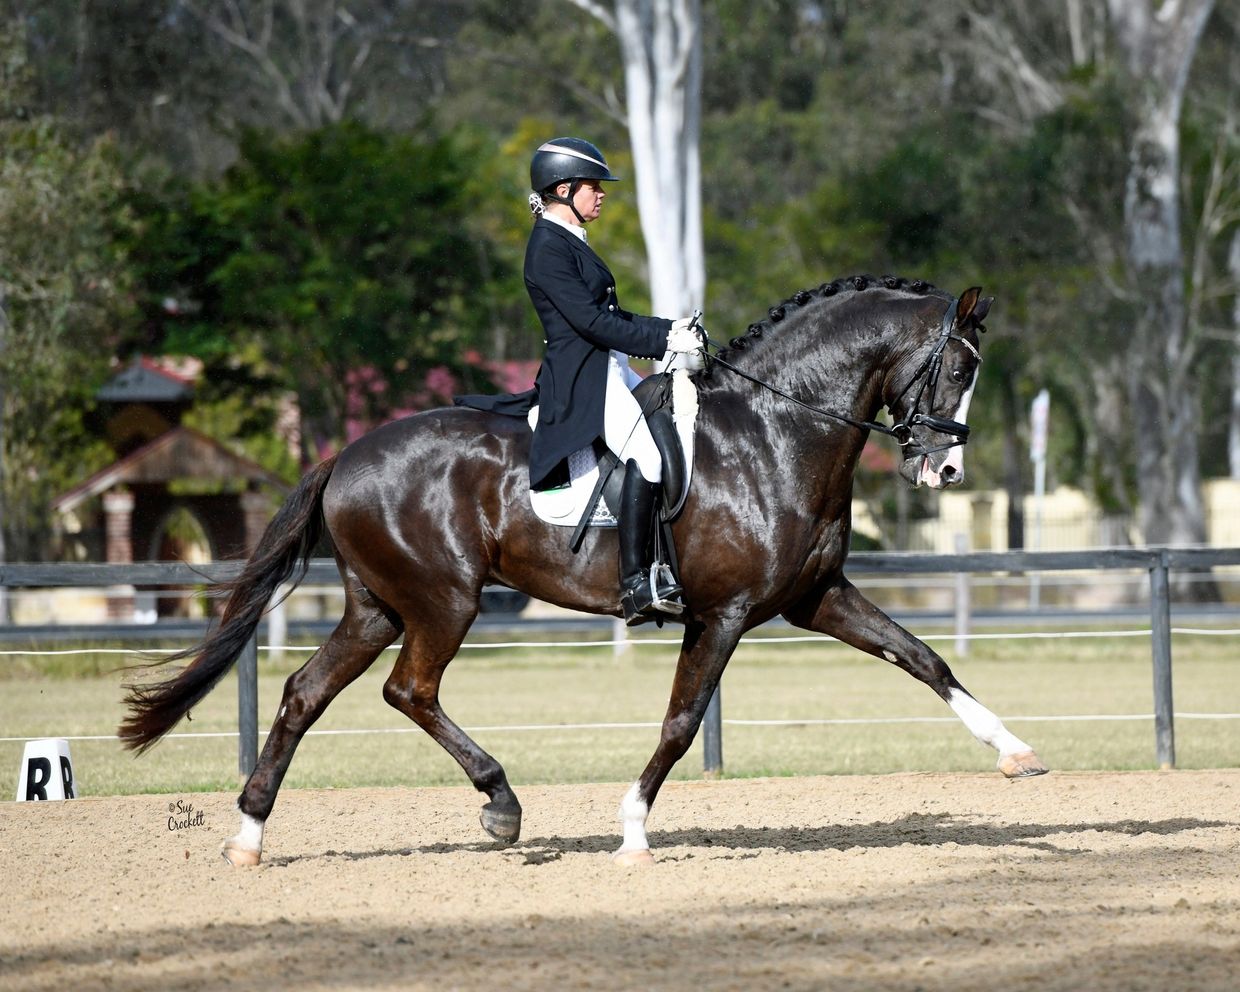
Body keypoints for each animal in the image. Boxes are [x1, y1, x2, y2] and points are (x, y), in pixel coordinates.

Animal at [120, 273, 1047, 867]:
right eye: (958, 368)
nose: (944, 470)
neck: (776, 433)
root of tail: (345, 456)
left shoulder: (816, 598)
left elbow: (924, 658)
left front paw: (1016, 753)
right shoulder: (725, 613)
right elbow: (681, 723)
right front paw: (633, 832)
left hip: (377, 606)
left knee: (305, 694)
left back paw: (249, 836)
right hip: (443, 601)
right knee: (408, 690)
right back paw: (500, 805)